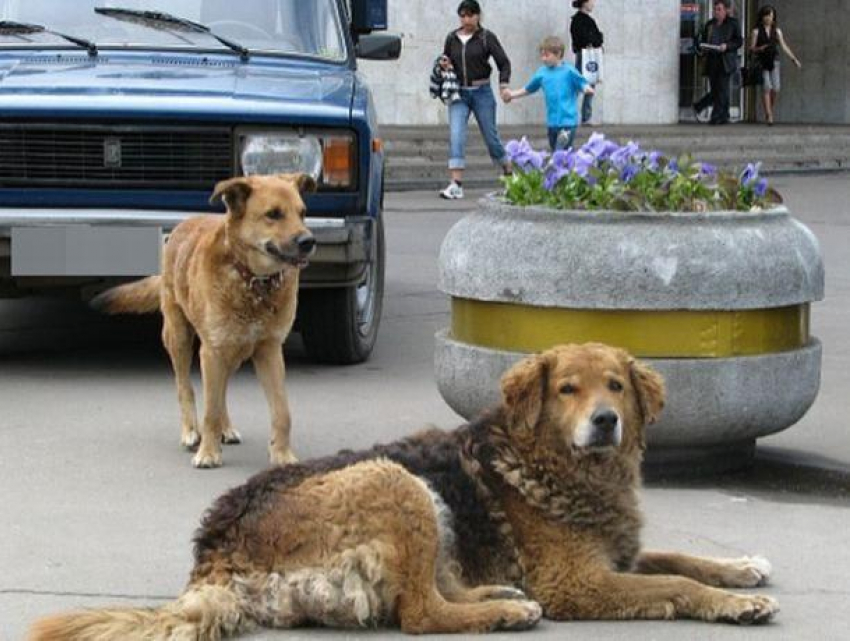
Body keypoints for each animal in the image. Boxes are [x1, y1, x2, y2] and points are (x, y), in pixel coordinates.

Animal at [31, 342, 776, 636]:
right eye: (568, 389)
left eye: (616, 385)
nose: (605, 421)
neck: (562, 465)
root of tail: (214, 552)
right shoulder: (577, 580)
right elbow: (671, 582)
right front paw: (731, 603)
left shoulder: (616, 552)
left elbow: (680, 556)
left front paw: (742, 567)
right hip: (395, 480)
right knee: (418, 612)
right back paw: (502, 611)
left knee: (425, 595)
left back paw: (499, 595)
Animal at [93, 172, 316, 468]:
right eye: (273, 214)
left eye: (302, 213)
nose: (308, 242)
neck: (252, 280)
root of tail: (184, 223)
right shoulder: (212, 352)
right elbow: (209, 410)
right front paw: (208, 453)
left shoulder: (268, 351)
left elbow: (282, 411)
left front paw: (282, 454)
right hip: (179, 338)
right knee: (186, 388)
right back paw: (190, 432)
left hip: (233, 353)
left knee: (221, 394)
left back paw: (226, 428)